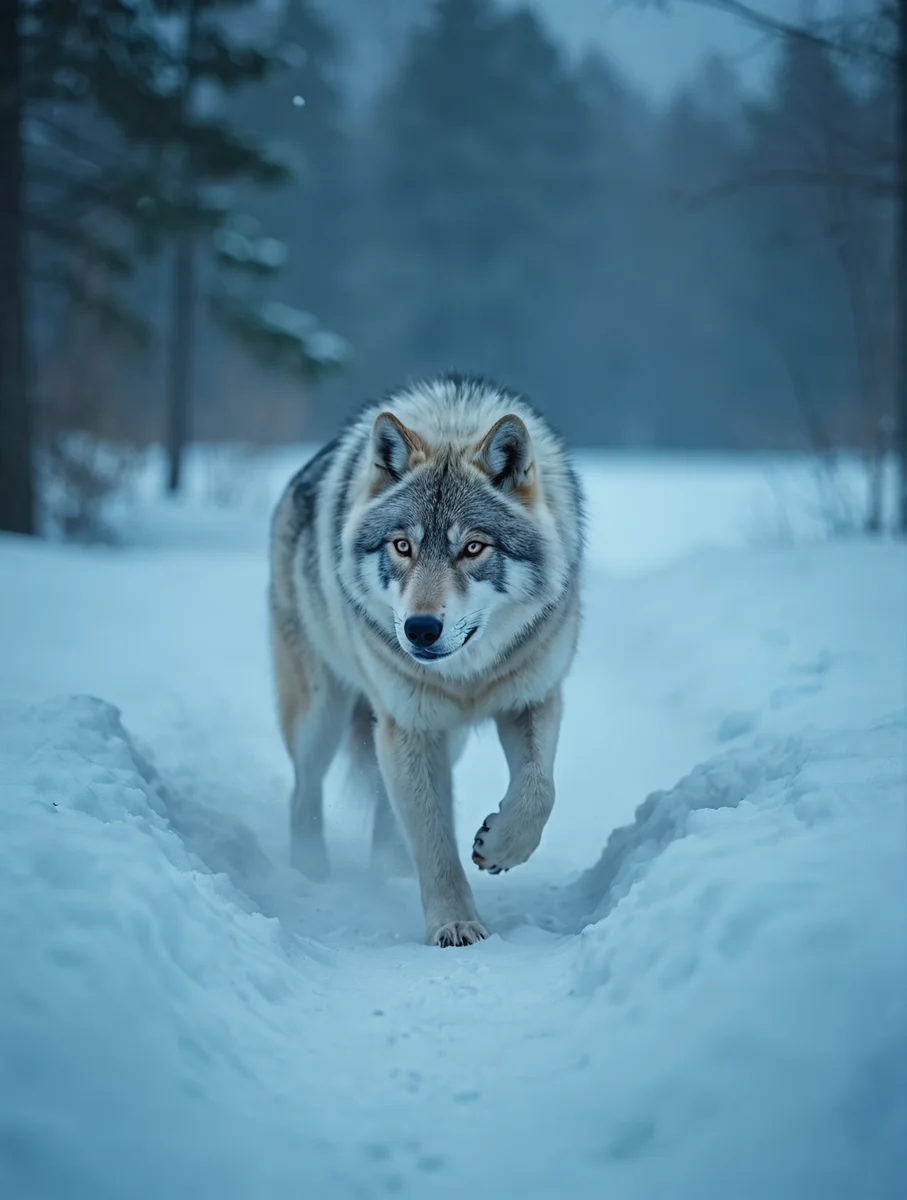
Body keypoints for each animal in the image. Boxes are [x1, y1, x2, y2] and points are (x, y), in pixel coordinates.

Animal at [268, 373, 584, 946]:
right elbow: (435, 845)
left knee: (390, 812)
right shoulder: (406, 725)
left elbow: (538, 791)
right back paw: (311, 871)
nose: (419, 628)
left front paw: (500, 847)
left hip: (445, 739)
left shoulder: (533, 699)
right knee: (305, 789)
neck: (466, 675)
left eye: (473, 548)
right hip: (322, 714)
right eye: (402, 546)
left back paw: (389, 866)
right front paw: (455, 924)